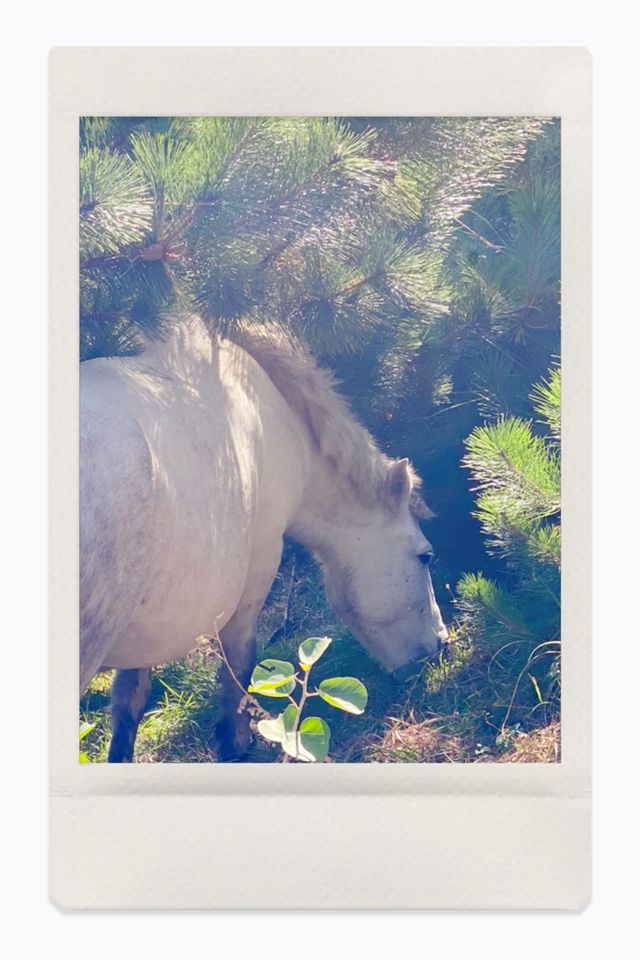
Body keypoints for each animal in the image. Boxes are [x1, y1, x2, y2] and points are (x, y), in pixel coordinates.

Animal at [80, 318, 448, 760]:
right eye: (425, 556)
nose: (440, 644)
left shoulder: (148, 632)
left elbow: (129, 702)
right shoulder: (258, 569)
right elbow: (238, 668)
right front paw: (235, 743)